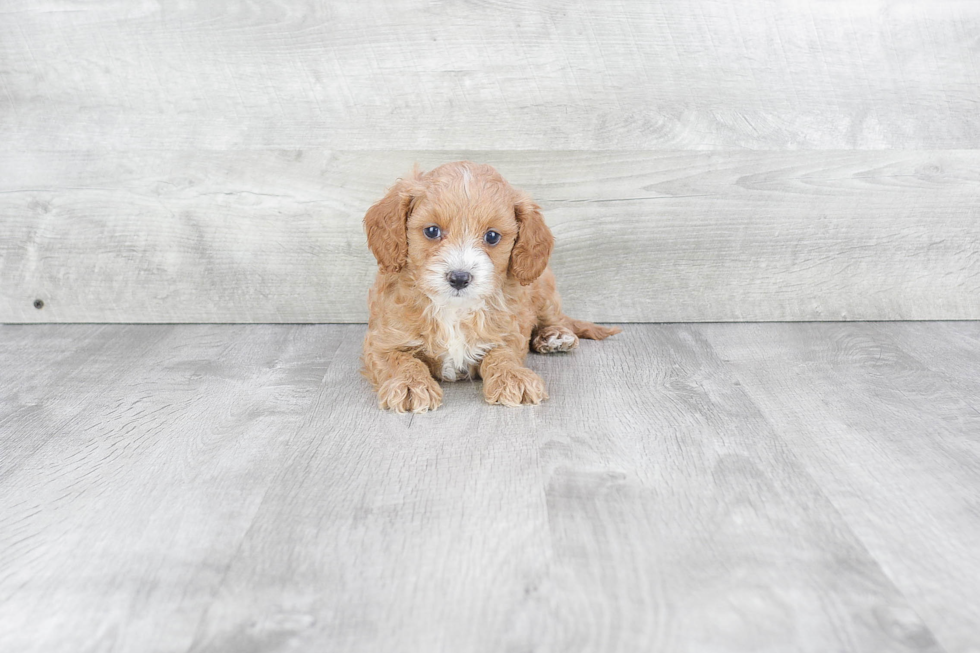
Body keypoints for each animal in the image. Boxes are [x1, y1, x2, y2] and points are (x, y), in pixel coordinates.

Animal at [360, 159, 620, 412]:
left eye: (492, 236)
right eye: (432, 231)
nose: (459, 278)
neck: (454, 309)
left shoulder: (508, 333)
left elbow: (502, 354)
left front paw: (513, 377)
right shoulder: (382, 343)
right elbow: (401, 360)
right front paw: (410, 384)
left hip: (543, 285)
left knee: (555, 317)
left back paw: (555, 336)